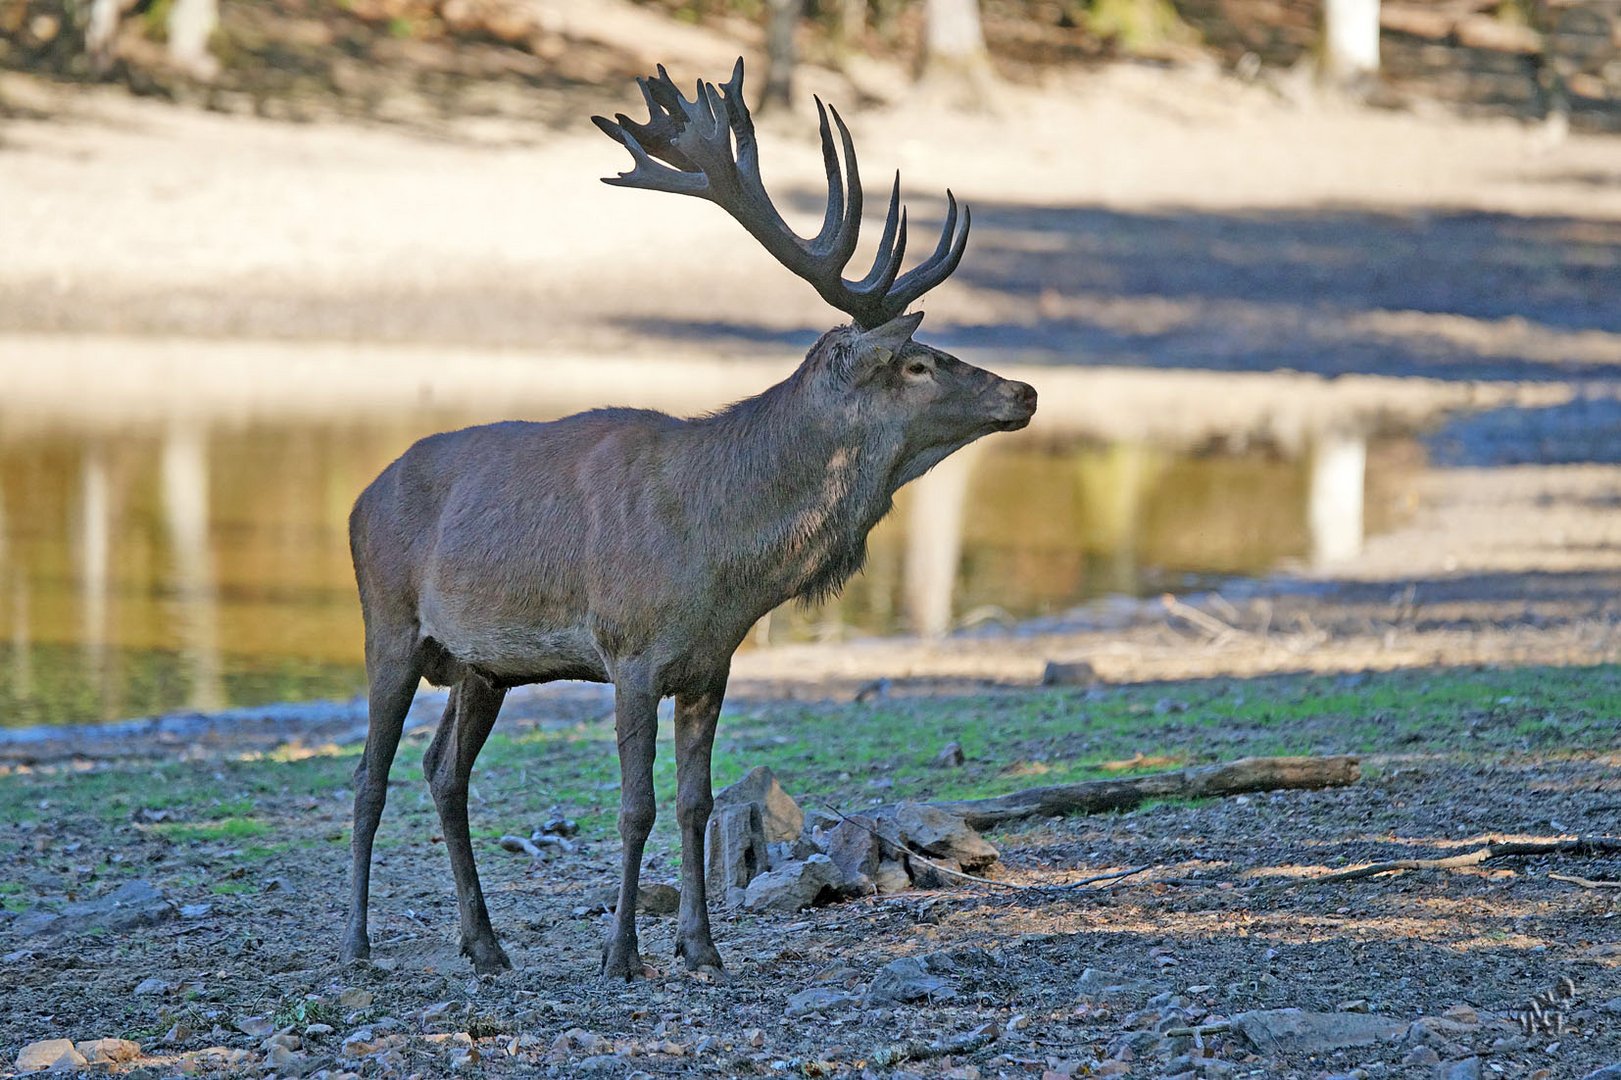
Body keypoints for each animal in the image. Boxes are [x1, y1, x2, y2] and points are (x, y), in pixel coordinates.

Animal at [340, 60, 1037, 985]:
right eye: (919, 362)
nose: (1024, 391)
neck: (720, 556)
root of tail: (358, 496)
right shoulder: (629, 649)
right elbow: (634, 806)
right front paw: (622, 954)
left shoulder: (710, 664)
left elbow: (696, 803)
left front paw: (702, 947)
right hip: (386, 619)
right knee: (369, 776)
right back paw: (357, 944)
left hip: (481, 665)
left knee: (442, 771)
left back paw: (485, 945)